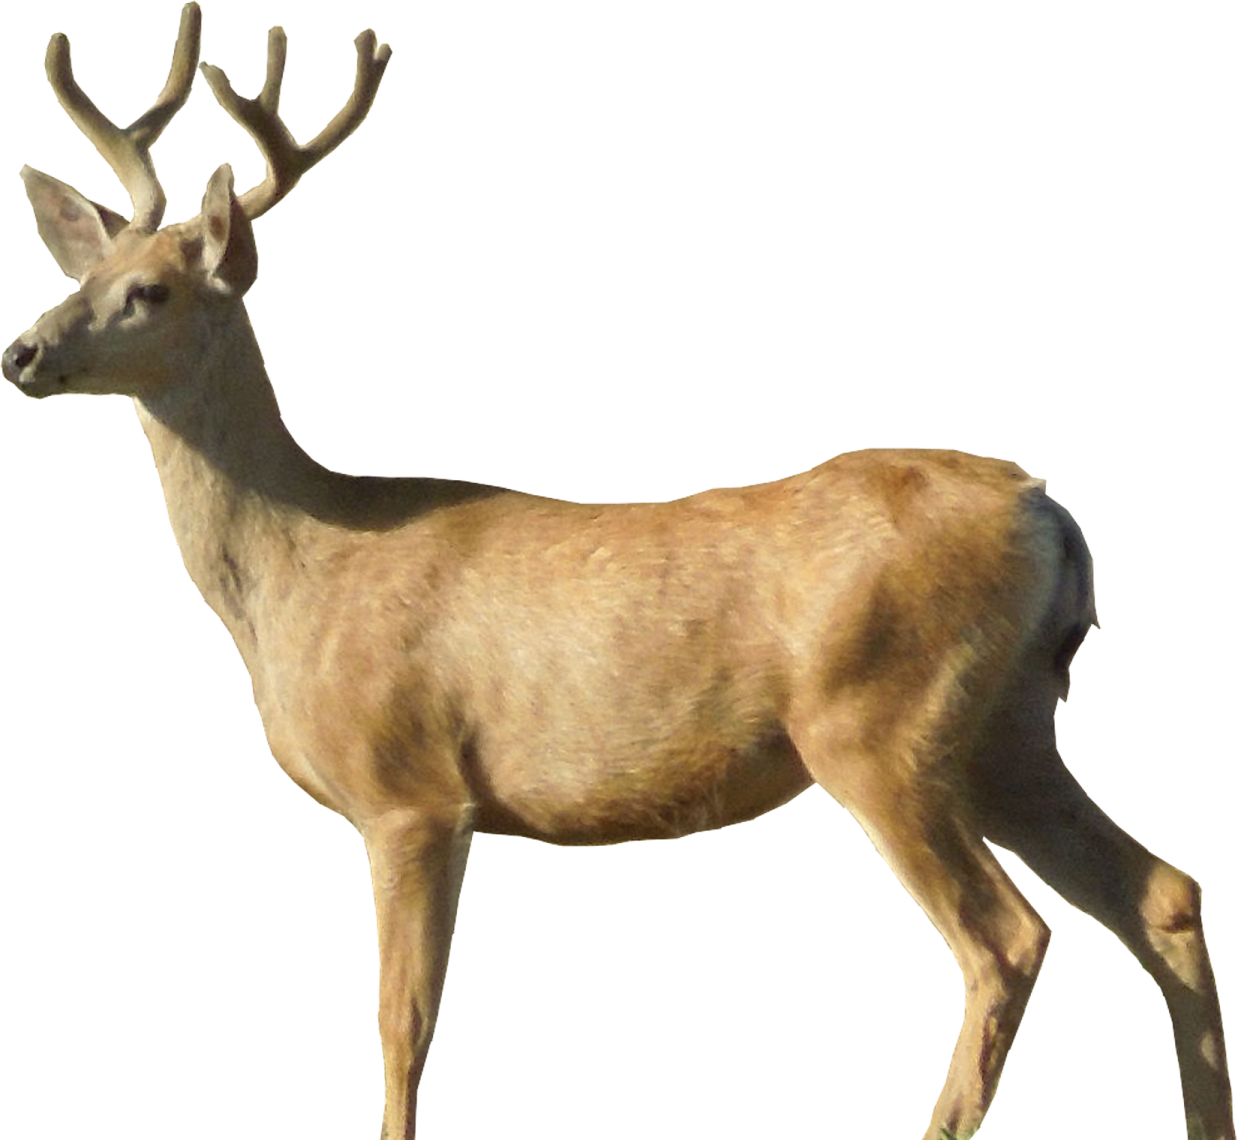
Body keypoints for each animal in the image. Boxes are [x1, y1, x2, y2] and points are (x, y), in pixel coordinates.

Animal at [2, 5, 1233, 1138]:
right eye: (81, 272)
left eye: (151, 291)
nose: (20, 352)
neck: (303, 567)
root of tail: (1048, 514)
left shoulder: (412, 792)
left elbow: (402, 1023)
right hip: (1004, 724)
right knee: (1162, 894)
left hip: (881, 723)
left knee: (1006, 941)